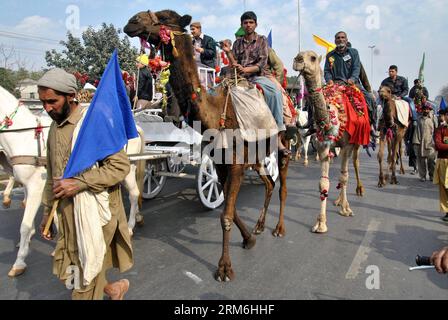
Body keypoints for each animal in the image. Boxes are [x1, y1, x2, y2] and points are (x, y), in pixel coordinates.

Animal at [0, 86, 144, 276]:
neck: (23, 137)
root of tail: (135, 125)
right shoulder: (47, 184)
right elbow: (53, 214)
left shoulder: (35, 187)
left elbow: (25, 226)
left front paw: (19, 262)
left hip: (127, 170)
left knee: (134, 193)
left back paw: (130, 226)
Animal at [122, 8, 290, 282]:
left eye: (165, 18)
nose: (131, 22)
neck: (213, 113)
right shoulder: (222, 164)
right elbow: (230, 210)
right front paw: (249, 239)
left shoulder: (235, 164)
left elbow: (226, 215)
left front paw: (224, 268)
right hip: (257, 156)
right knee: (269, 184)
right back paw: (260, 226)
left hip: (282, 143)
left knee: (282, 185)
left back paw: (278, 228)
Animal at [292, 51, 370, 234]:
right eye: (299, 55)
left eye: (313, 57)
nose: (297, 61)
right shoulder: (323, 146)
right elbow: (323, 183)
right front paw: (321, 224)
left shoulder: (347, 145)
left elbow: (344, 176)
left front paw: (346, 209)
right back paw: (339, 200)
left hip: (357, 141)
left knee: (353, 165)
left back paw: (357, 192)